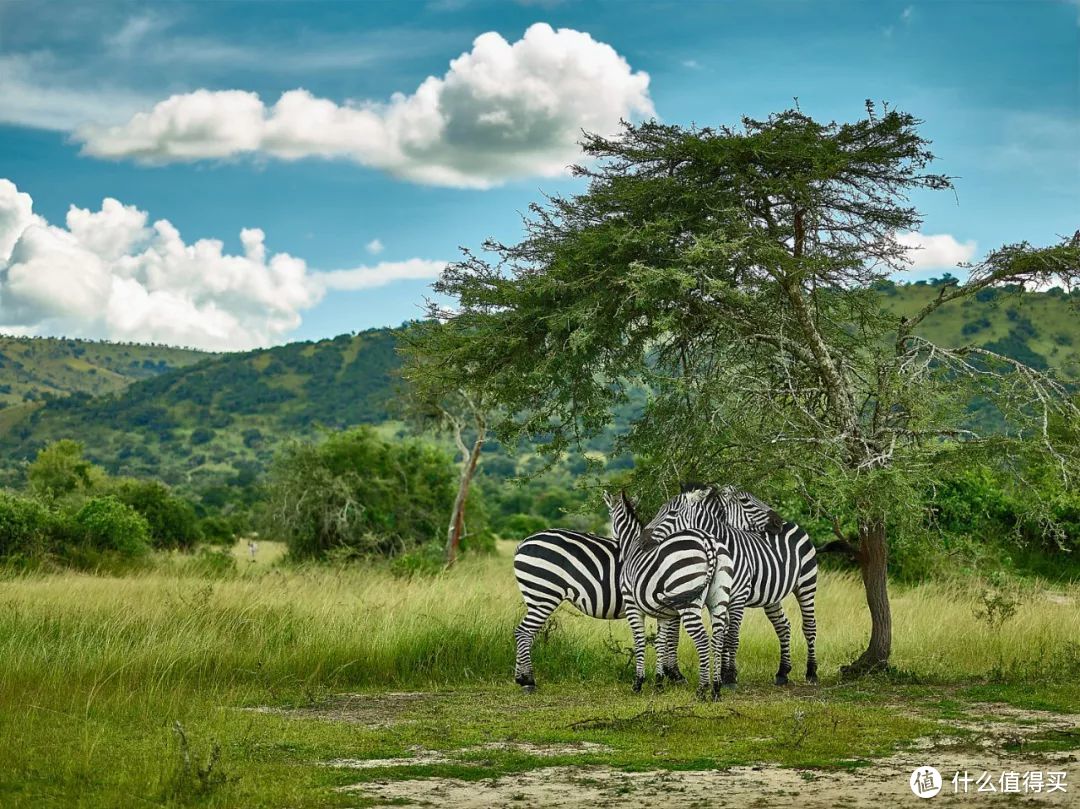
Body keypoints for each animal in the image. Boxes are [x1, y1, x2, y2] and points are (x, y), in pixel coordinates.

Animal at [511, 527, 686, 691]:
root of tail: (524, 542)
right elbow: (673, 639)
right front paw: (675, 675)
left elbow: (669, 638)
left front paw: (669, 674)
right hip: (544, 594)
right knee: (524, 632)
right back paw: (528, 680)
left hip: (536, 597)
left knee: (528, 634)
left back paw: (520, 677)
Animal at [609, 488, 734, 695]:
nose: (643, 542)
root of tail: (707, 541)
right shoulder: (664, 613)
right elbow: (661, 642)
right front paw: (659, 682)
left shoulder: (631, 605)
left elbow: (640, 640)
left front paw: (638, 682)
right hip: (719, 598)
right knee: (717, 637)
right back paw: (716, 689)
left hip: (688, 601)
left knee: (702, 639)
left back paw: (702, 689)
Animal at [639, 483, 816, 686]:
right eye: (745, 500)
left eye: (672, 512)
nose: (778, 522)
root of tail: (793, 524)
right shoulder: (718, 597)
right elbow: (721, 634)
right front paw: (723, 674)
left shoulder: (738, 597)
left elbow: (731, 636)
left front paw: (729, 676)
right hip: (772, 595)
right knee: (783, 626)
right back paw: (782, 672)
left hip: (806, 584)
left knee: (809, 626)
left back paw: (812, 672)